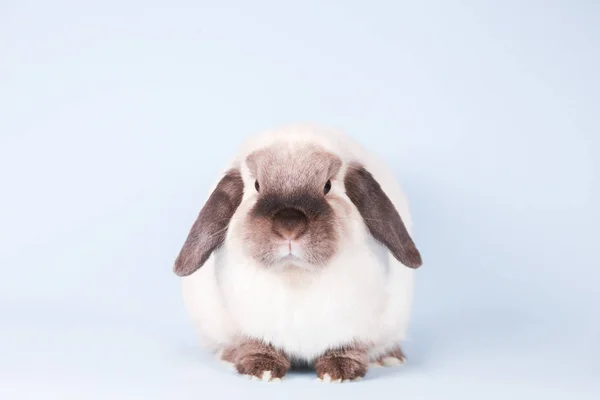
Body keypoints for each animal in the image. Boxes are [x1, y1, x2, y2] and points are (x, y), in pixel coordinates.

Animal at [173, 125, 422, 382]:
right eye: (257, 186)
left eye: (327, 186)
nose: (289, 225)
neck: (295, 276)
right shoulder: (253, 329)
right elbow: (257, 345)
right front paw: (261, 369)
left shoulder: (351, 328)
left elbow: (346, 347)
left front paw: (339, 371)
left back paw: (390, 358)